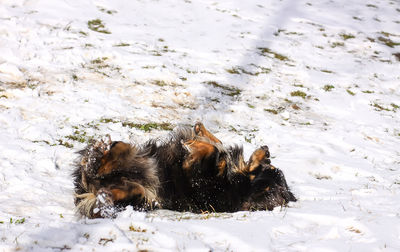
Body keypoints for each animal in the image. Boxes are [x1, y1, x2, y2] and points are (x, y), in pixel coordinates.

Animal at [72, 121, 296, 217]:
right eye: (270, 164)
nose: (267, 149)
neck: (240, 183)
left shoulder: (203, 180)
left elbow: (212, 153)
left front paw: (194, 144)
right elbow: (217, 145)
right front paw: (199, 131)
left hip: (145, 197)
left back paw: (104, 186)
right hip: (133, 158)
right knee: (115, 151)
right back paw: (103, 152)